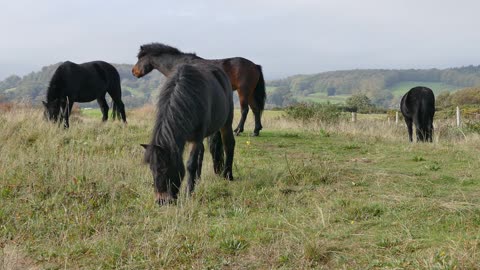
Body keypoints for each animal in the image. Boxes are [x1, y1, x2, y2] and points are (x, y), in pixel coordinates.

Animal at [131, 42, 266, 137]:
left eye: (139, 58)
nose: (133, 71)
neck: (178, 64)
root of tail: (255, 65)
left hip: (243, 91)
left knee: (245, 110)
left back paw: (238, 130)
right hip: (250, 93)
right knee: (255, 109)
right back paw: (256, 131)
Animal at [134, 48, 235, 205]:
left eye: (165, 168)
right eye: (151, 169)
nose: (161, 201)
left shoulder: (197, 137)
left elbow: (190, 164)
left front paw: (189, 192)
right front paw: (194, 184)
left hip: (226, 123)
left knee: (229, 144)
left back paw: (228, 175)